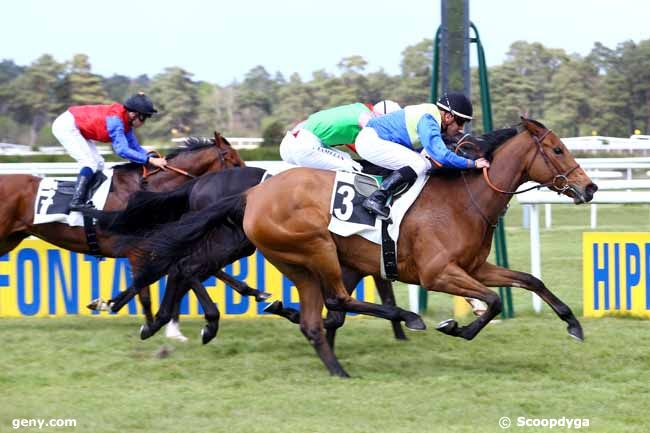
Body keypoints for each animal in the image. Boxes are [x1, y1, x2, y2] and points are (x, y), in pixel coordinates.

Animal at [0, 132, 246, 328]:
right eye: (234, 161)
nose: (249, 190)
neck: (150, 194)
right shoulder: (138, 249)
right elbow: (146, 290)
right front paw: (150, 324)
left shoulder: (161, 244)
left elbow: (199, 268)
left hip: (10, 238)